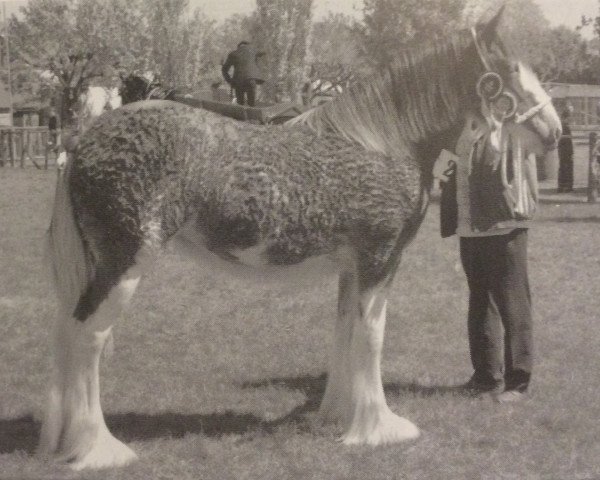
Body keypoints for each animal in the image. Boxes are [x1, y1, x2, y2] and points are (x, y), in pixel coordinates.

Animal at [39, 9, 560, 470]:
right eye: (509, 69)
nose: (553, 131)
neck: (383, 142)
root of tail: (84, 140)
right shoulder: (378, 260)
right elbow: (372, 337)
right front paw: (378, 428)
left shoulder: (352, 268)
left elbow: (345, 330)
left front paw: (339, 416)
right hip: (124, 264)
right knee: (88, 337)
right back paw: (98, 449)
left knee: (67, 333)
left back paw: (65, 441)